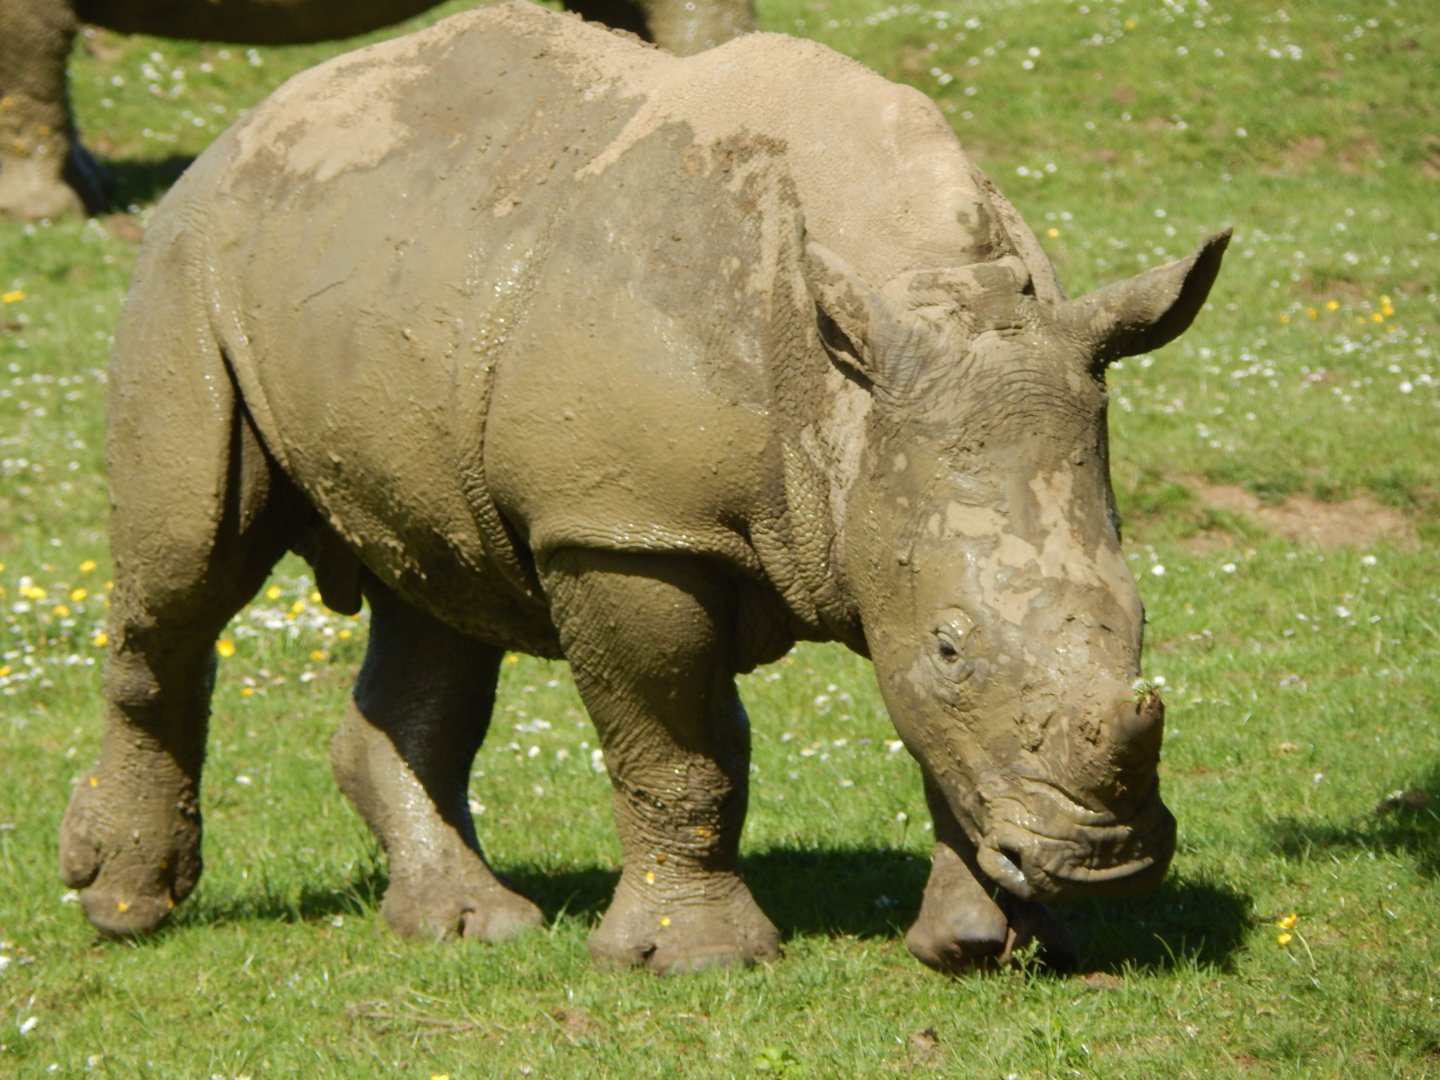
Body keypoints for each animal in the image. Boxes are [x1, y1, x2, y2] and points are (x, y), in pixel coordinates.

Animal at [59, 2, 1229, 973]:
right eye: (952, 646)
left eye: (1140, 624)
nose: (1108, 864)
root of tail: (252, 122)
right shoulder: (623, 527)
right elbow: (675, 749)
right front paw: (693, 959)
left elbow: (927, 733)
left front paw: (987, 947)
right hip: (189, 265)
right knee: (189, 568)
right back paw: (124, 905)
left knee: (436, 597)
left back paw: (469, 926)